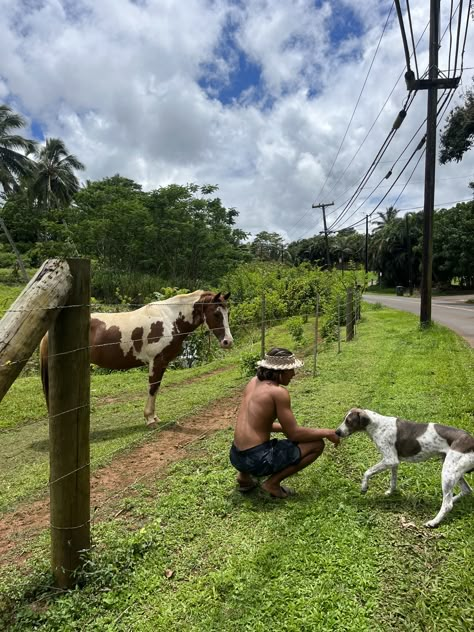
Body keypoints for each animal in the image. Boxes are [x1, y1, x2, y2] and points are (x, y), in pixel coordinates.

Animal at [39, 290, 232, 428]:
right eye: (216, 314)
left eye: (227, 313)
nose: (228, 342)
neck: (169, 319)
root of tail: (48, 334)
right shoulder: (156, 362)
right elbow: (153, 388)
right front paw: (150, 418)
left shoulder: (161, 363)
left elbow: (156, 388)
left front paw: (153, 416)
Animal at [334, 408, 474, 524]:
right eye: (344, 419)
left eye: (349, 421)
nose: (336, 432)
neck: (377, 425)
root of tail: (471, 441)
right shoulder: (394, 462)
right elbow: (393, 481)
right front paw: (390, 493)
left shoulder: (390, 459)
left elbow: (367, 472)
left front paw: (364, 487)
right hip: (452, 470)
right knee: (465, 490)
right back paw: (452, 499)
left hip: (447, 472)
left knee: (448, 505)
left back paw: (434, 522)